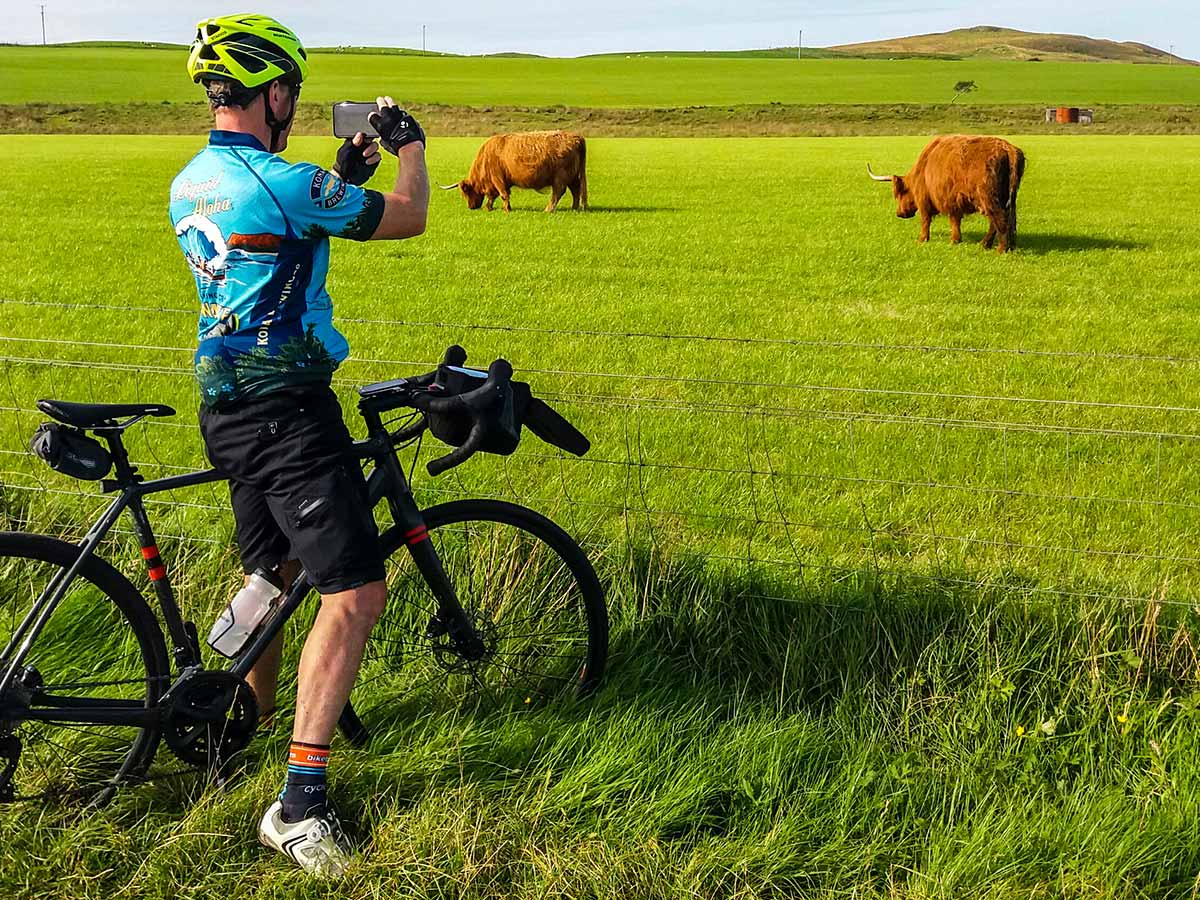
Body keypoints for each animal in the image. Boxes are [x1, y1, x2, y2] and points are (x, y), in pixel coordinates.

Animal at [441, 130, 590, 213]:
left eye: (466, 192)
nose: (471, 207)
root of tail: (576, 137)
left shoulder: (497, 178)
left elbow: (502, 194)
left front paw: (506, 210)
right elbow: (494, 196)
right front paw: (489, 207)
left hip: (561, 176)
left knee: (558, 192)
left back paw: (548, 210)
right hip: (573, 176)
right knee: (575, 190)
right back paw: (574, 208)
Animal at [868, 135, 1027, 254]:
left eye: (900, 194)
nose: (899, 213)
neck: (922, 170)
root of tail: (1008, 148)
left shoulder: (927, 200)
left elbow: (927, 220)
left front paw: (923, 239)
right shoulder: (953, 201)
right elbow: (955, 220)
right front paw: (955, 240)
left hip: (989, 198)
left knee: (1000, 219)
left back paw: (1000, 249)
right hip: (1006, 198)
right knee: (1001, 220)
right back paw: (987, 244)